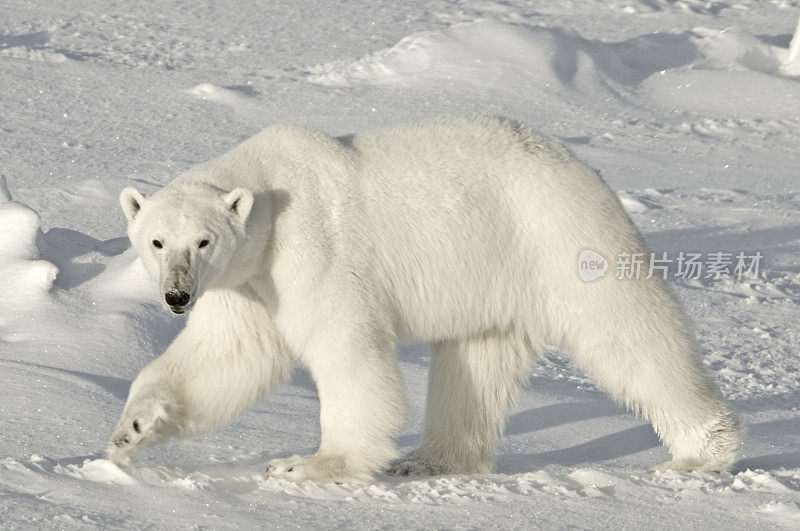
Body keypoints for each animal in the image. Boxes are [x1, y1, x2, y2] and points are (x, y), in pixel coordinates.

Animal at [109, 115, 740, 482]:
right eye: (157, 241)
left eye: (204, 240)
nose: (176, 296)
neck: (268, 189)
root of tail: (576, 164)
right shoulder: (248, 278)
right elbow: (228, 355)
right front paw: (132, 430)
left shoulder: (310, 249)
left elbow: (344, 346)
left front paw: (310, 463)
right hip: (490, 273)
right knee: (473, 366)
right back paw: (430, 459)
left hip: (557, 238)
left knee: (628, 333)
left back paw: (700, 452)